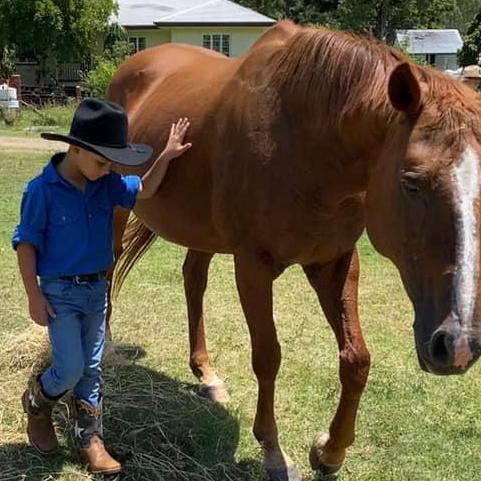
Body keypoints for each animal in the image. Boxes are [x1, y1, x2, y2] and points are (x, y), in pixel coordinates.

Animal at [107, 21, 480, 480]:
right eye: (411, 182)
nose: (458, 345)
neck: (307, 141)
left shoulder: (335, 262)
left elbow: (357, 359)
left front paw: (329, 452)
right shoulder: (253, 265)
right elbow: (268, 356)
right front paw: (273, 451)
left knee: (193, 280)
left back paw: (207, 375)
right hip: (116, 205)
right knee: (107, 268)